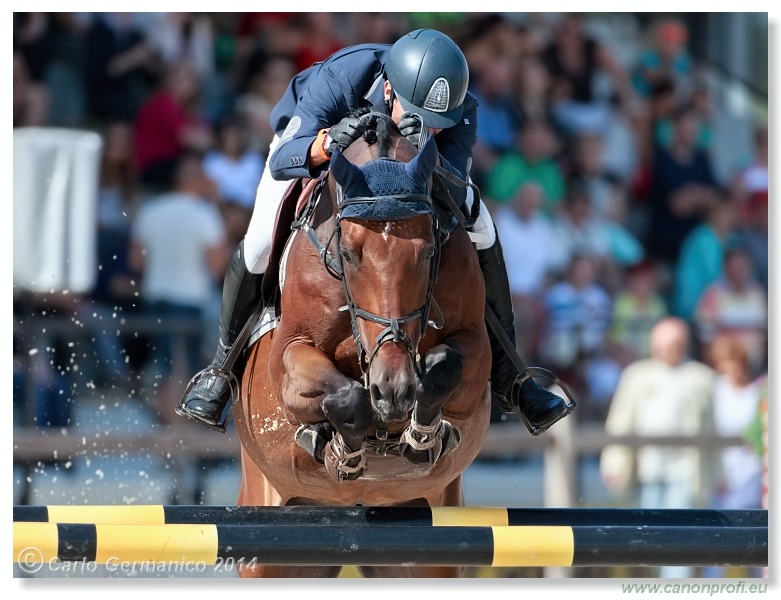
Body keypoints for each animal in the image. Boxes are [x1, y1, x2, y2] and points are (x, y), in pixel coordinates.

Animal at [232, 112, 490, 576]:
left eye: (428, 253)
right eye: (349, 254)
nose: (393, 390)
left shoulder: (474, 348)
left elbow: (442, 369)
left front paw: (421, 436)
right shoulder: (288, 356)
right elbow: (347, 396)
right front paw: (340, 449)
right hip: (264, 532)